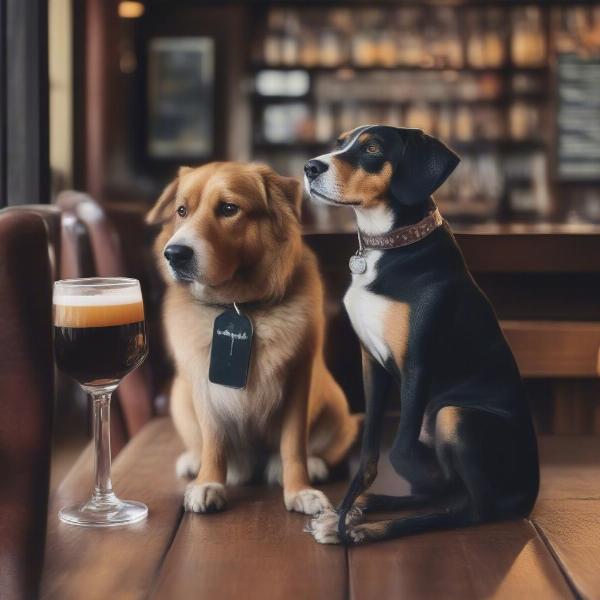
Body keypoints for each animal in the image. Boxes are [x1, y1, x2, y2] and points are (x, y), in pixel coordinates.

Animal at [147, 162, 358, 512]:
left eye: (228, 209)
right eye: (181, 210)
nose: (174, 254)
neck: (239, 304)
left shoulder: (297, 381)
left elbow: (293, 446)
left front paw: (299, 490)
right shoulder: (204, 388)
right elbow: (213, 443)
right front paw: (208, 482)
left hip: (337, 406)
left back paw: (312, 464)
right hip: (180, 396)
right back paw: (195, 461)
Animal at [304, 125, 540, 544]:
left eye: (372, 148)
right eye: (340, 143)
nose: (310, 167)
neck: (389, 247)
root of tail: (530, 493)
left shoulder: (416, 363)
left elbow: (400, 449)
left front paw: (355, 515)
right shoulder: (371, 363)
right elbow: (368, 452)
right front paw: (348, 507)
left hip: (453, 413)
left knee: (470, 509)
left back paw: (369, 528)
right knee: (448, 495)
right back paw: (358, 513)